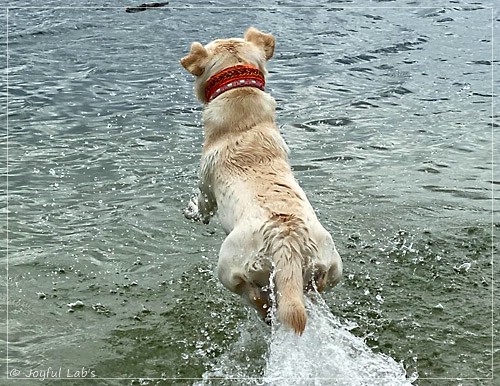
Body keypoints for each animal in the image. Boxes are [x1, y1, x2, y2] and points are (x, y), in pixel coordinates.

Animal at [182, 27, 342, 334]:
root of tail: (287, 241)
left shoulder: (206, 186)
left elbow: (202, 206)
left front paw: (191, 212)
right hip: (331, 265)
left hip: (228, 266)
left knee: (252, 295)